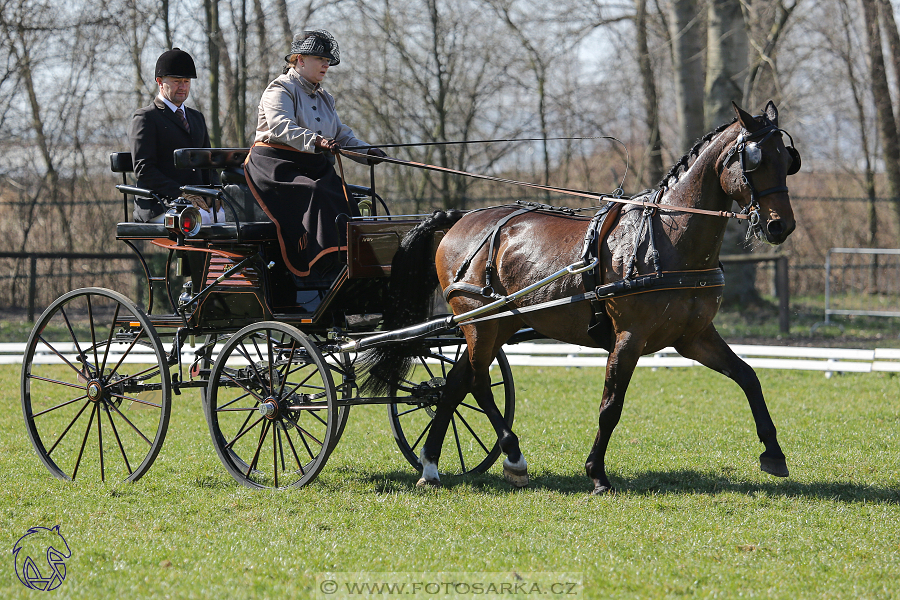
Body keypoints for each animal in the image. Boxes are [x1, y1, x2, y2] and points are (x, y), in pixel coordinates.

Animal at [362, 103, 800, 494]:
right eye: (755, 160)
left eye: (787, 159)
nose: (781, 226)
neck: (666, 237)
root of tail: (460, 219)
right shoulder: (629, 338)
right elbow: (611, 406)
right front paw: (597, 474)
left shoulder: (693, 337)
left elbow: (748, 376)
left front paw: (774, 454)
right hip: (478, 322)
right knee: (478, 383)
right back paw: (510, 456)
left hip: (496, 324)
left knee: (456, 384)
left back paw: (432, 465)